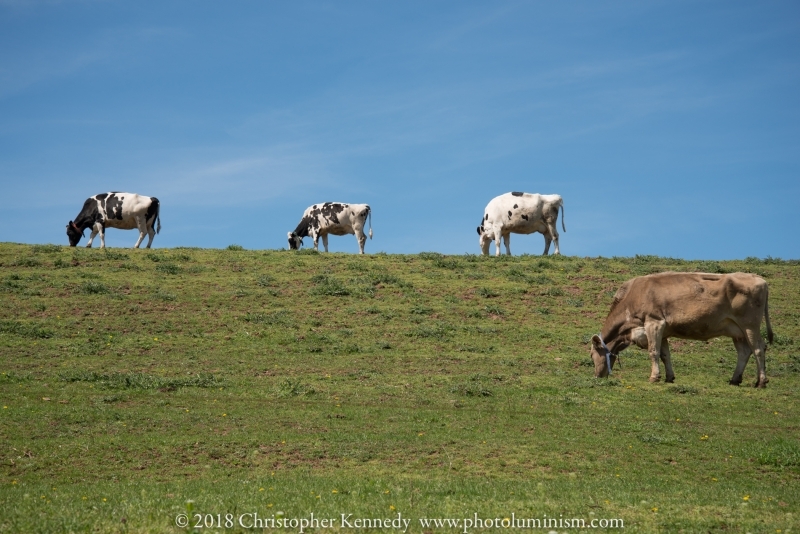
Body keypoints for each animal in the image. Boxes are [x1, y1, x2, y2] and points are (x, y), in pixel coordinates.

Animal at [592, 274, 772, 388]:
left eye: (592, 355)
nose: (597, 376)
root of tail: (759, 279)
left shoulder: (654, 322)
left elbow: (653, 352)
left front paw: (654, 377)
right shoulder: (663, 331)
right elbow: (665, 354)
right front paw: (669, 377)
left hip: (749, 325)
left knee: (758, 348)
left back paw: (761, 382)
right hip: (737, 331)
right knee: (744, 352)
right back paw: (735, 379)